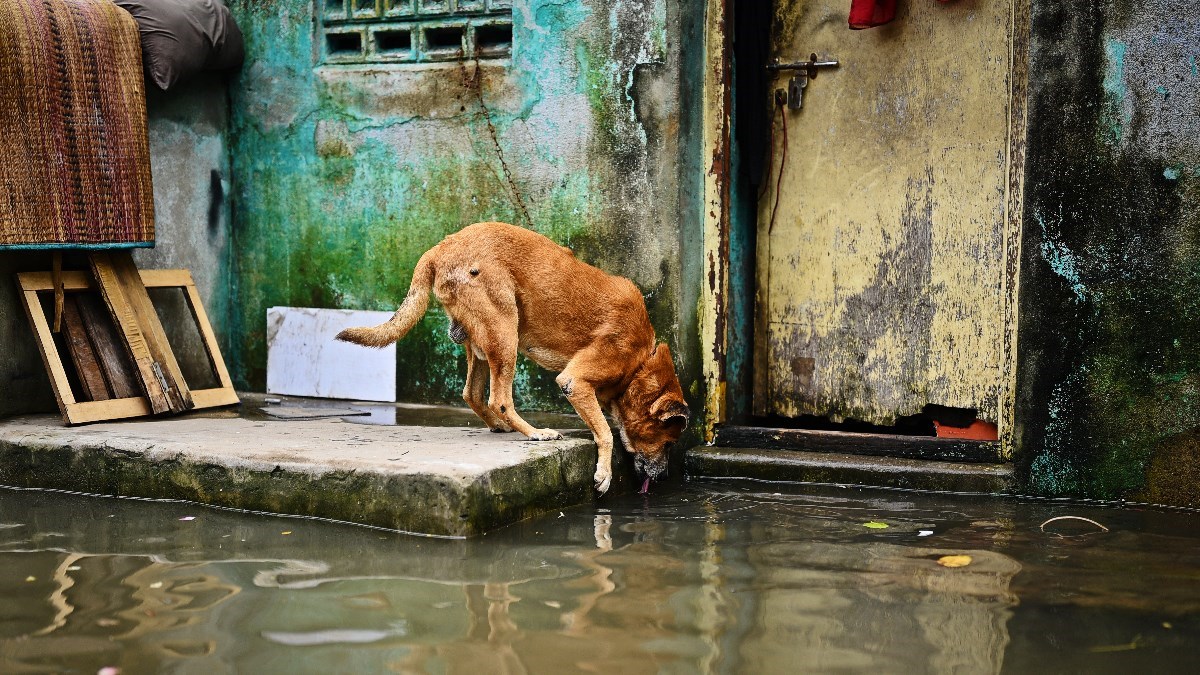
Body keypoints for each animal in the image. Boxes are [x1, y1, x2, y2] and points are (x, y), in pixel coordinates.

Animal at [343, 223, 691, 492]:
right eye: (669, 443)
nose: (664, 478)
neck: (640, 364)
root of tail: (441, 248)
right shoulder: (574, 381)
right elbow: (605, 433)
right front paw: (603, 474)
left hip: (481, 343)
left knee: (471, 393)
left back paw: (501, 427)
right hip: (504, 332)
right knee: (499, 398)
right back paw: (535, 433)